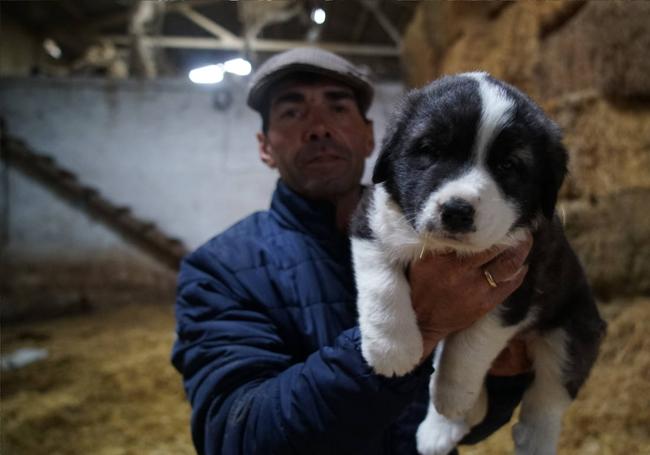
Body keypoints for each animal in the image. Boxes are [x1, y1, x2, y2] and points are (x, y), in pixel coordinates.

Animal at [352, 74, 604, 455]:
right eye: (430, 151)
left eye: (508, 165)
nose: (457, 211)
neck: (446, 250)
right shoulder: (369, 219)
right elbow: (382, 283)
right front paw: (391, 350)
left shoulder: (518, 282)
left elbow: (471, 345)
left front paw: (454, 395)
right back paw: (443, 428)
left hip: (574, 329)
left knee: (550, 393)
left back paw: (530, 437)